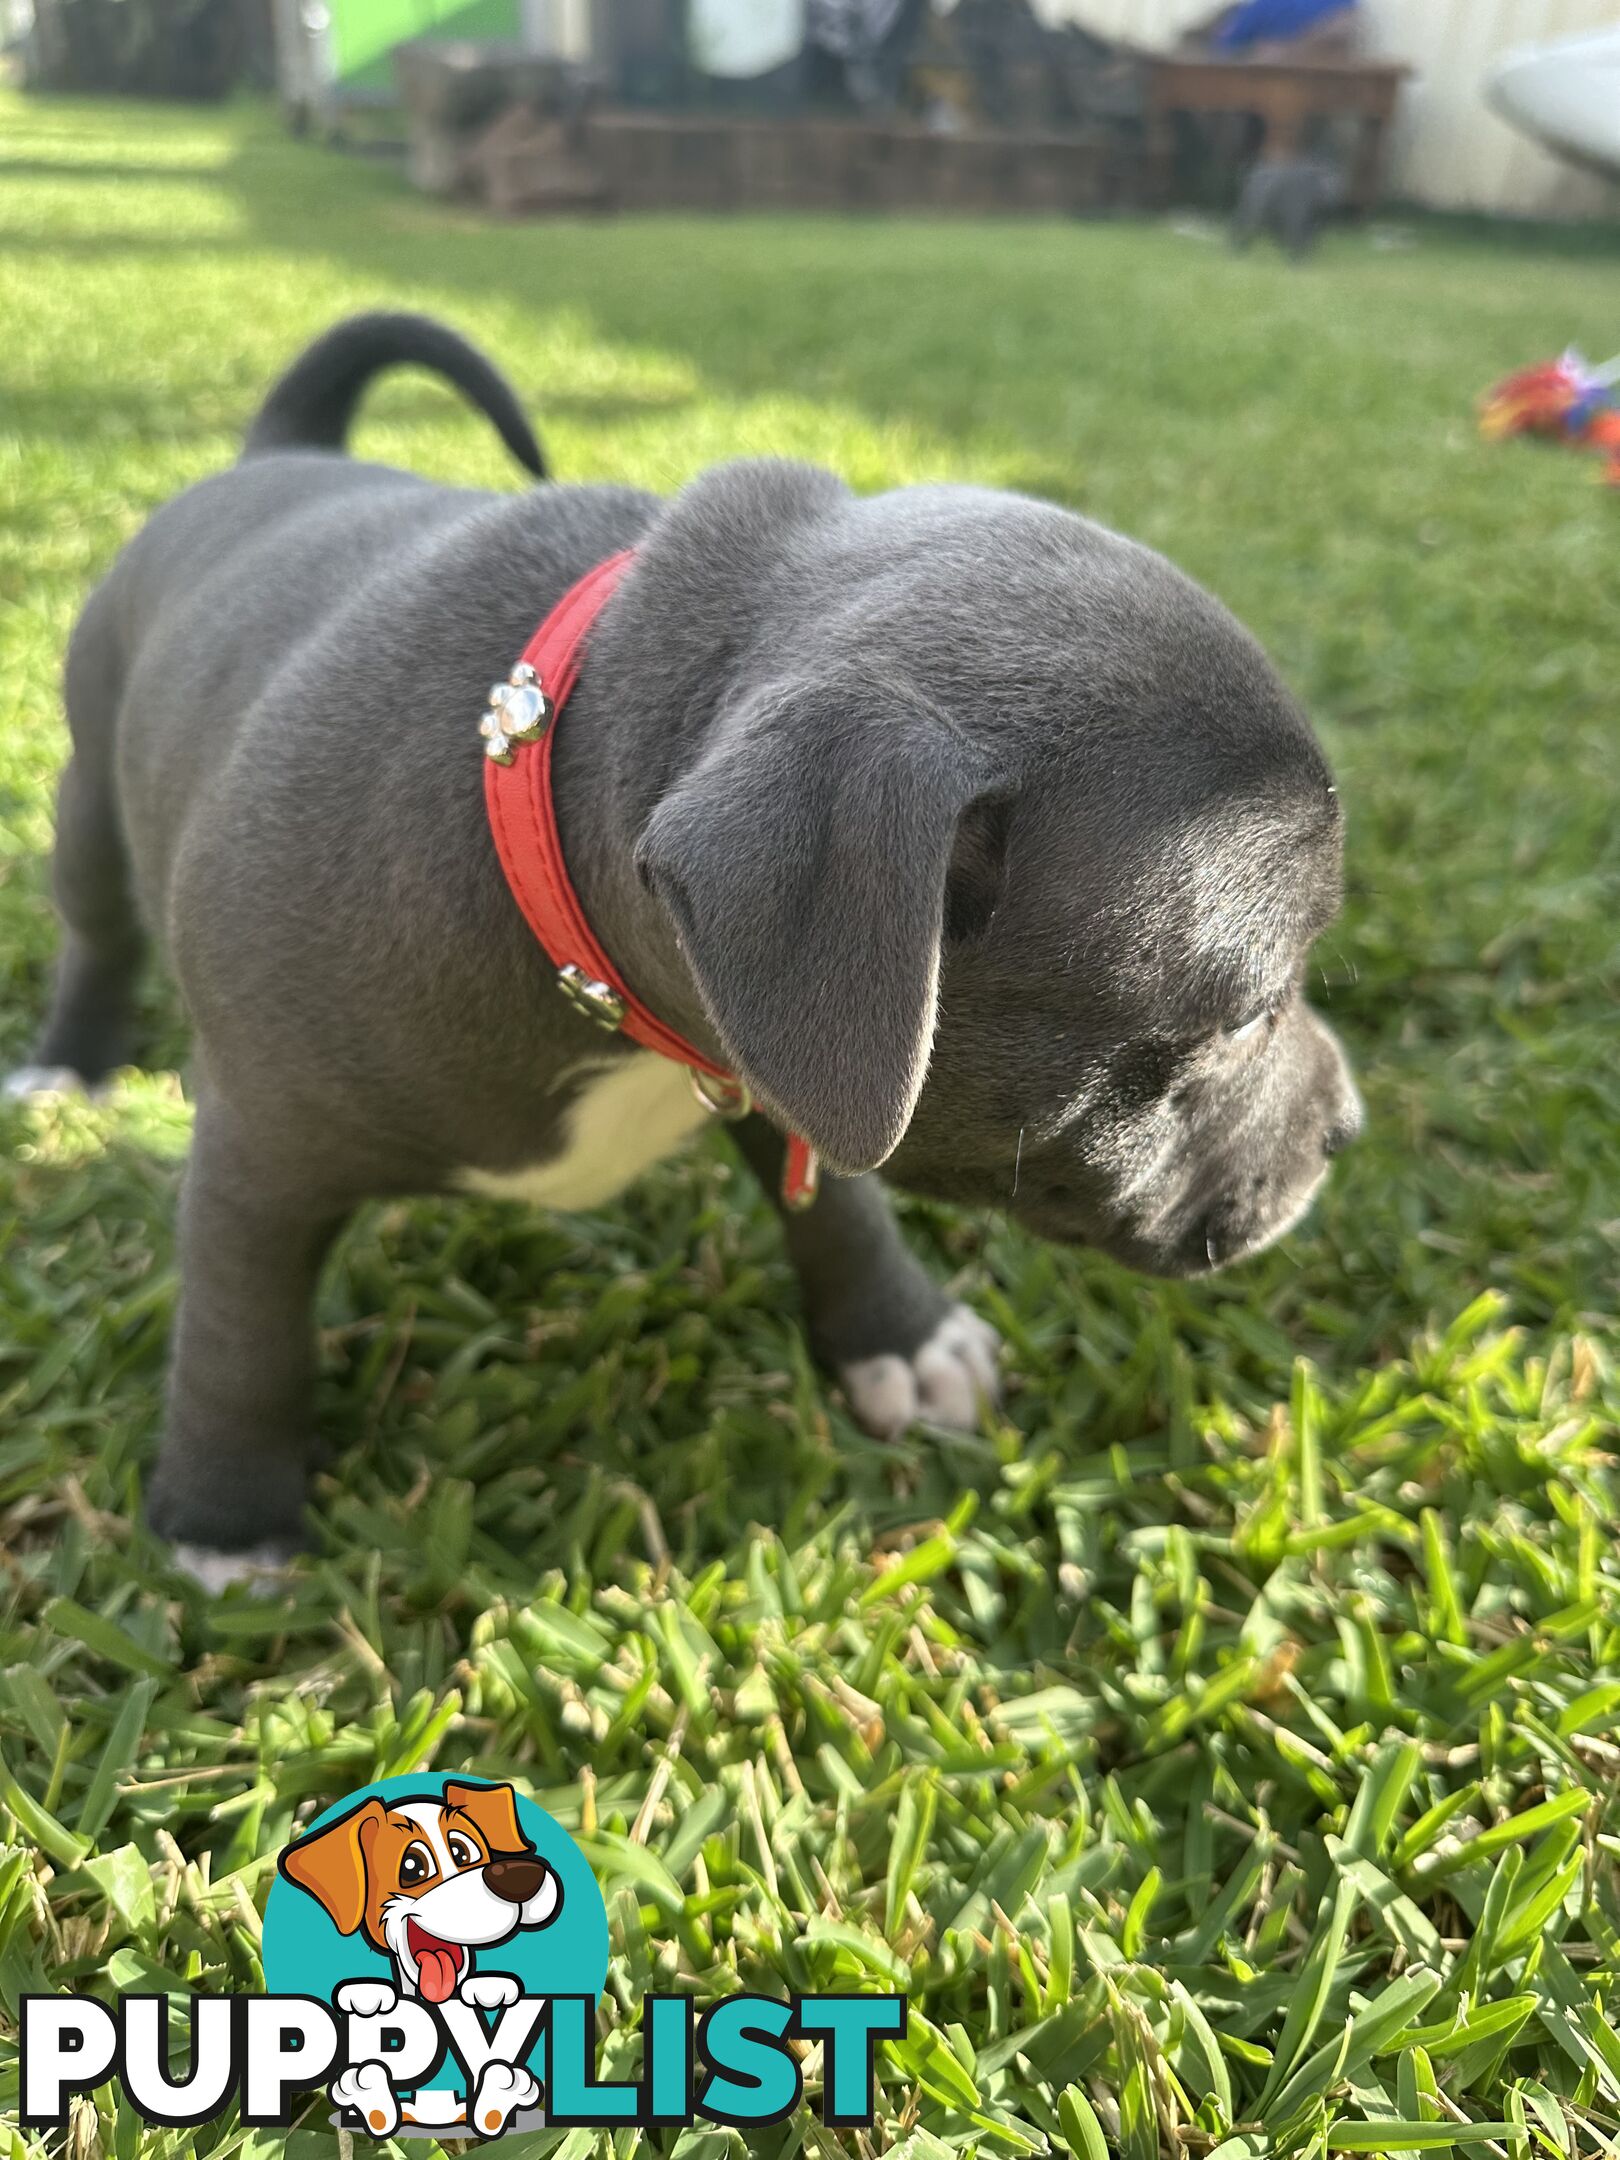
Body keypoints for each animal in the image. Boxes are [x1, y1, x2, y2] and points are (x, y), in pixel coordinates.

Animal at [9, 313, 1356, 1581]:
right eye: (1241, 1018)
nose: (1345, 1125)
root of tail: (281, 450)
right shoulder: (259, 1148)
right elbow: (243, 1328)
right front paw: (226, 1520)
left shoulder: (789, 1050)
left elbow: (838, 1205)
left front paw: (901, 1335)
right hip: (88, 794)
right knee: (97, 926)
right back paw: (70, 1063)